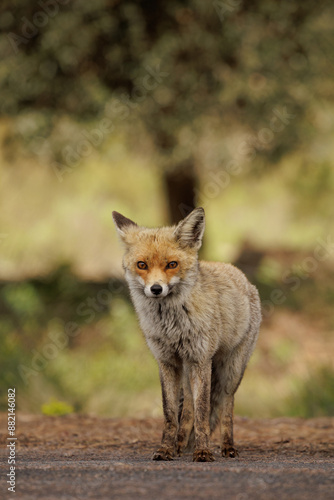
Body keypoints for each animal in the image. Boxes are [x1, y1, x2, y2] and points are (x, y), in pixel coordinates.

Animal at [112, 206, 260, 460]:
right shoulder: (167, 361)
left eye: (172, 264)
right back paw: (180, 445)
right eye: (142, 265)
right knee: (189, 405)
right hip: (188, 370)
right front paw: (165, 449)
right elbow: (171, 414)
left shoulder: (201, 359)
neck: (172, 325)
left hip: (230, 370)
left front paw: (203, 451)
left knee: (226, 405)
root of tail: (238, 272)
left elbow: (202, 413)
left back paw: (227, 446)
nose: (156, 289)